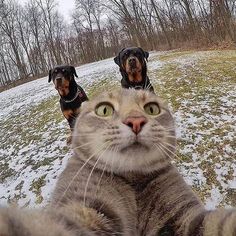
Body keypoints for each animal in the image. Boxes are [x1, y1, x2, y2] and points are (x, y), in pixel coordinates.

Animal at [0, 89, 236, 236]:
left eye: (152, 109)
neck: (133, 183)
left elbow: (217, 224)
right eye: (103, 109)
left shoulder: (183, 214)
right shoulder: (91, 203)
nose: (136, 121)